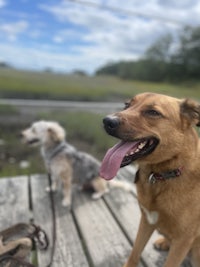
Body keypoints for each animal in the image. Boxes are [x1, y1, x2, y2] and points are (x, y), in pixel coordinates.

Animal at [100, 92, 200, 267]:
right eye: (126, 105)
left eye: (153, 112)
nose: (107, 121)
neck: (162, 174)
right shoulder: (147, 220)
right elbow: (134, 253)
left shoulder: (184, 239)